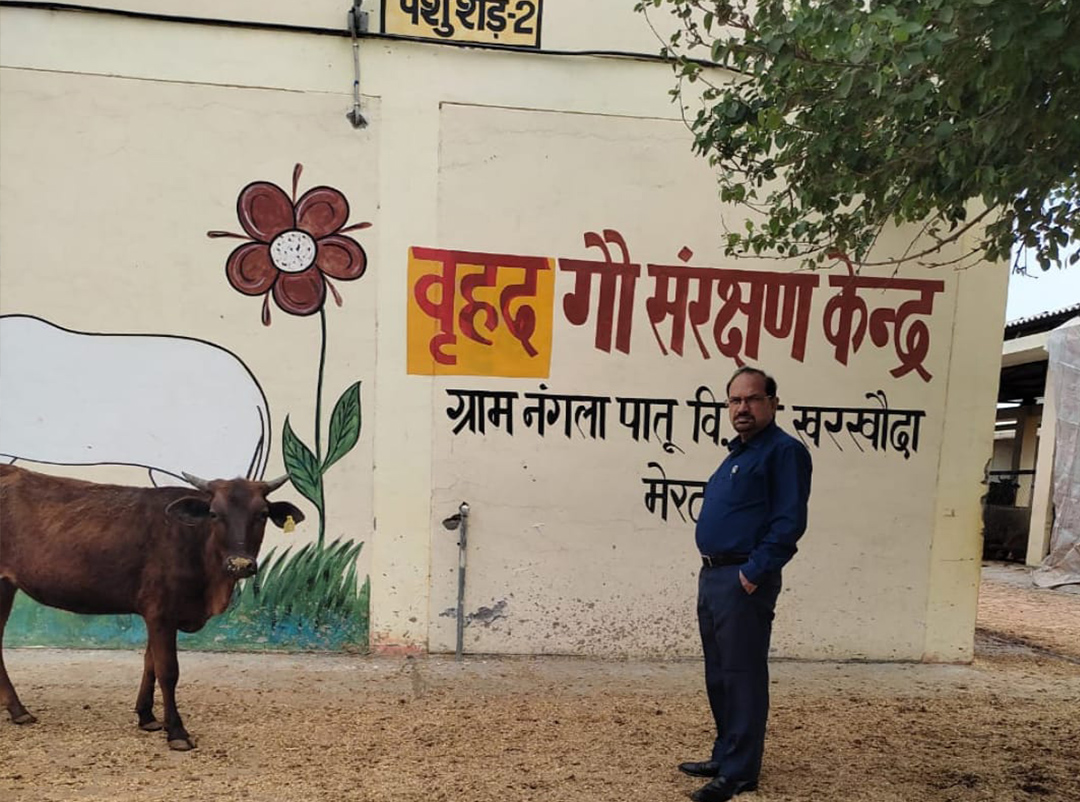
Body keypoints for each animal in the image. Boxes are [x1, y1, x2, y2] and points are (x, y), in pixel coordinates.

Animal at [0, 465, 303, 750]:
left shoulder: (157, 613)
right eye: (214, 513)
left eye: (262, 514)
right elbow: (168, 670)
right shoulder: (161, 612)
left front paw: (147, 716)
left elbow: (150, 664)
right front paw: (177, 731)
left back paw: (17, 710)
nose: (240, 564)